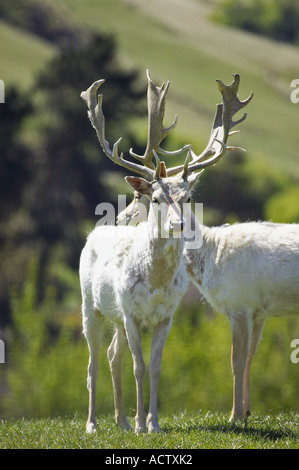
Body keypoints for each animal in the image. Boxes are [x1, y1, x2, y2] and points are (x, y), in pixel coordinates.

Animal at [79, 70, 225, 434]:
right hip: (90, 305)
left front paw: (153, 423)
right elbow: (139, 367)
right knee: (93, 363)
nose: (178, 224)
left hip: (115, 315)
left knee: (112, 356)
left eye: (188, 197)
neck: (156, 283)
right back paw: (93, 423)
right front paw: (141, 425)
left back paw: (119, 420)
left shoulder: (166, 316)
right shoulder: (132, 314)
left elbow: (156, 367)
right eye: (156, 197)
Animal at [116, 74, 299, 422]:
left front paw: (235, 416)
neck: (213, 257)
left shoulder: (240, 302)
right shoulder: (260, 310)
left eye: (188, 196)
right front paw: (248, 411)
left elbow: (236, 361)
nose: (120, 217)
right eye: (155, 197)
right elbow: (251, 357)